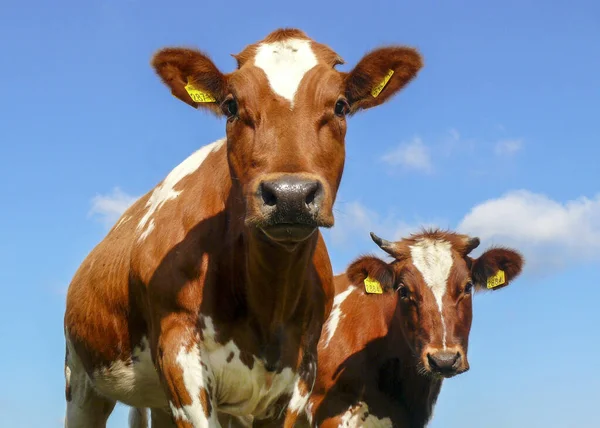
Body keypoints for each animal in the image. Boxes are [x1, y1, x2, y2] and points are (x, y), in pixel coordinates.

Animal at [63, 27, 424, 428]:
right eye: (231, 106)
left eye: (341, 105)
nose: (290, 194)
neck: (267, 303)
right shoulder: (178, 355)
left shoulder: (301, 372)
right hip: (82, 381)